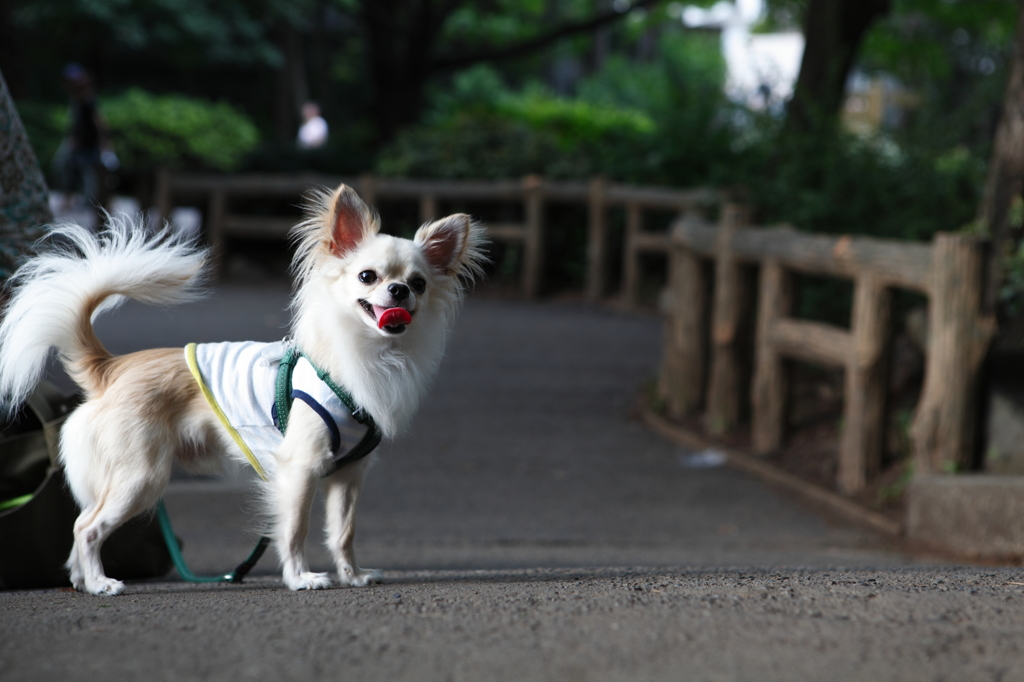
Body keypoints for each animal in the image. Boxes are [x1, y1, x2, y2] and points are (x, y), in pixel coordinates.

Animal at [0, 183, 485, 593]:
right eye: (368, 277)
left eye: (420, 284)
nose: (400, 291)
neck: (367, 355)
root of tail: (111, 367)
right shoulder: (300, 468)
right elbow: (295, 529)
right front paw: (301, 578)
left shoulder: (349, 476)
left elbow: (342, 532)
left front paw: (353, 575)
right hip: (141, 477)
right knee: (87, 527)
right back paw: (101, 583)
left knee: (82, 522)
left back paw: (81, 580)